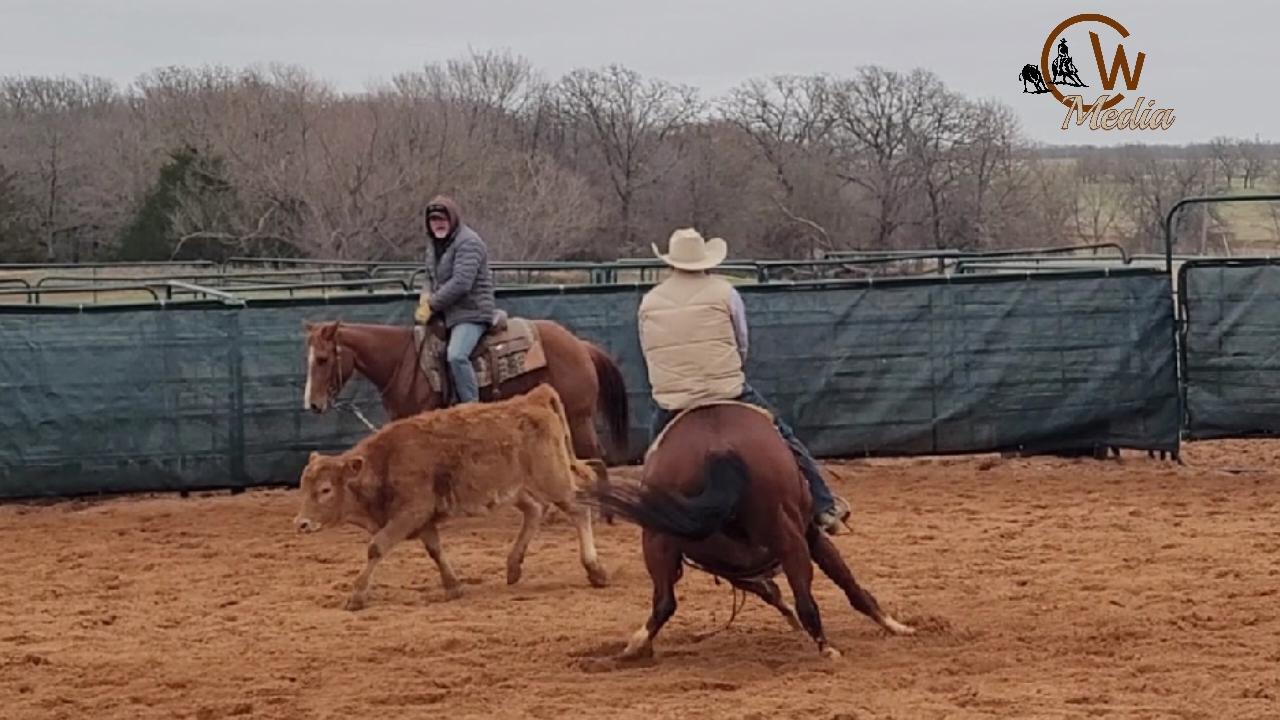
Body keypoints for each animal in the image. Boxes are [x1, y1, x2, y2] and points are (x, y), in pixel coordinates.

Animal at [292, 383, 612, 611]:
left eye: (325, 490)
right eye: (303, 487)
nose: (302, 523)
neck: (386, 460)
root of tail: (532, 398)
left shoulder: (411, 512)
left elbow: (377, 547)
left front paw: (356, 596)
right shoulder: (423, 520)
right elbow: (435, 549)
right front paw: (453, 585)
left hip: (554, 480)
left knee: (579, 512)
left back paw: (595, 570)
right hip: (519, 489)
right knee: (534, 511)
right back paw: (513, 567)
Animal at [302, 311, 631, 466]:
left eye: (323, 358)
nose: (313, 404)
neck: (405, 360)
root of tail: (581, 346)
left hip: (578, 417)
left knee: (594, 454)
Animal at [581, 400, 915, 660]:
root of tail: (717, 448)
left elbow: (782, 589)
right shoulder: (809, 536)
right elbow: (847, 584)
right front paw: (895, 626)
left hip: (660, 540)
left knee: (664, 601)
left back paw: (633, 647)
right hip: (783, 536)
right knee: (804, 599)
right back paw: (826, 648)